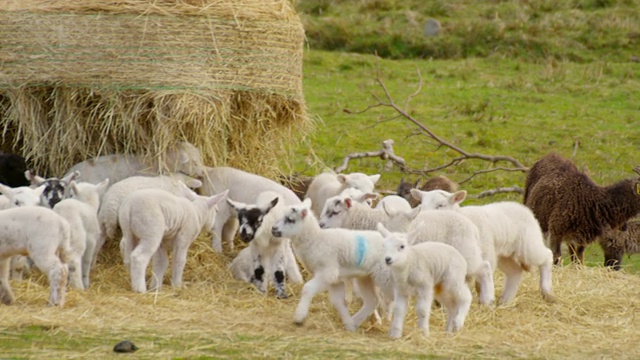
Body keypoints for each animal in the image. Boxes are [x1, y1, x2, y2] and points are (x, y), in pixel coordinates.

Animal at [268, 198, 392, 334]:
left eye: (290, 219)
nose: (273, 229)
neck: (316, 239)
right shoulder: (334, 279)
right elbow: (338, 302)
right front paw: (349, 324)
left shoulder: (327, 271)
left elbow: (307, 288)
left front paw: (299, 317)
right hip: (366, 278)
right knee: (372, 301)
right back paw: (356, 321)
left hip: (386, 277)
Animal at [416, 188, 556, 304]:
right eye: (422, 205)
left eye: (440, 205)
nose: (424, 218)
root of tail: (523, 208)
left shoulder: (485, 253)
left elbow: (479, 280)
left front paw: (483, 300)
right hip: (505, 255)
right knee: (515, 272)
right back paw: (505, 301)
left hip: (528, 246)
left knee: (547, 256)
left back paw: (547, 292)